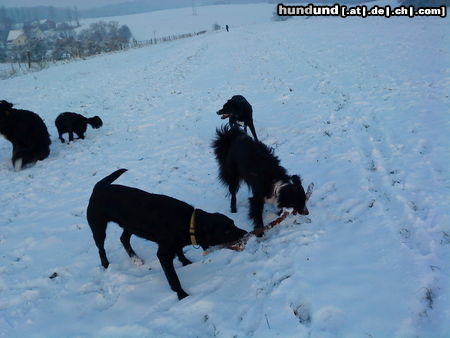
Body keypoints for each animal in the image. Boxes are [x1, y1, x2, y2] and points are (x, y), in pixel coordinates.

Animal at [87, 169, 246, 302]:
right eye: (226, 231)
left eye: (233, 223)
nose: (245, 233)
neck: (188, 222)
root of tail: (98, 187)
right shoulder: (163, 254)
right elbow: (174, 279)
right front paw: (182, 295)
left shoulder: (176, 243)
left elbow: (180, 251)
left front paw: (186, 262)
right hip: (98, 227)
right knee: (101, 248)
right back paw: (106, 265)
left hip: (130, 225)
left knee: (124, 239)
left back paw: (135, 258)